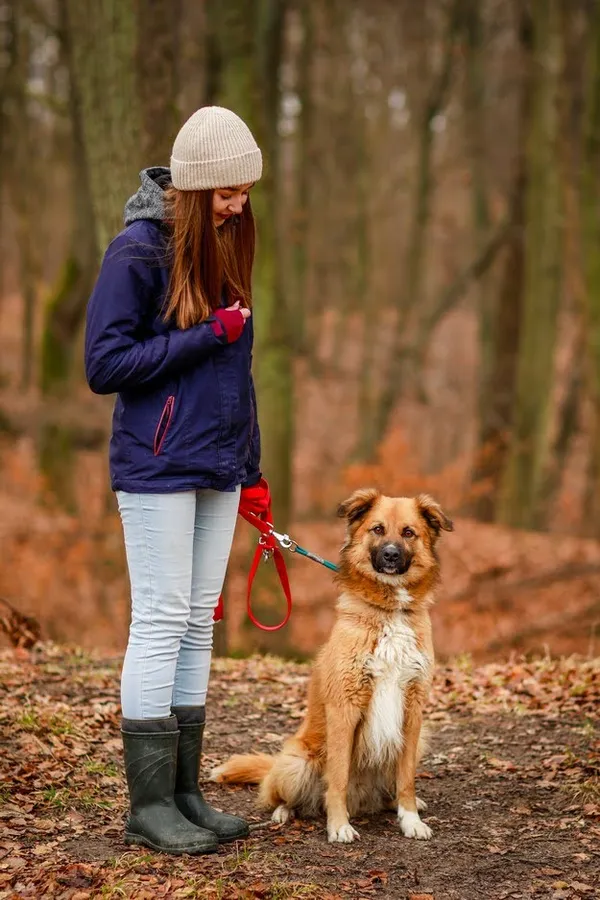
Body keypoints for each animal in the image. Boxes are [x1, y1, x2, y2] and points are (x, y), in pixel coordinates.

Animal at [211, 488, 450, 840]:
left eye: (408, 533)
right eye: (377, 529)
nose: (391, 555)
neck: (389, 611)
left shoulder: (413, 710)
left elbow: (406, 778)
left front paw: (411, 819)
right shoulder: (344, 708)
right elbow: (337, 778)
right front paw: (339, 826)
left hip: (420, 740)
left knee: (390, 787)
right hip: (297, 763)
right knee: (280, 795)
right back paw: (284, 813)